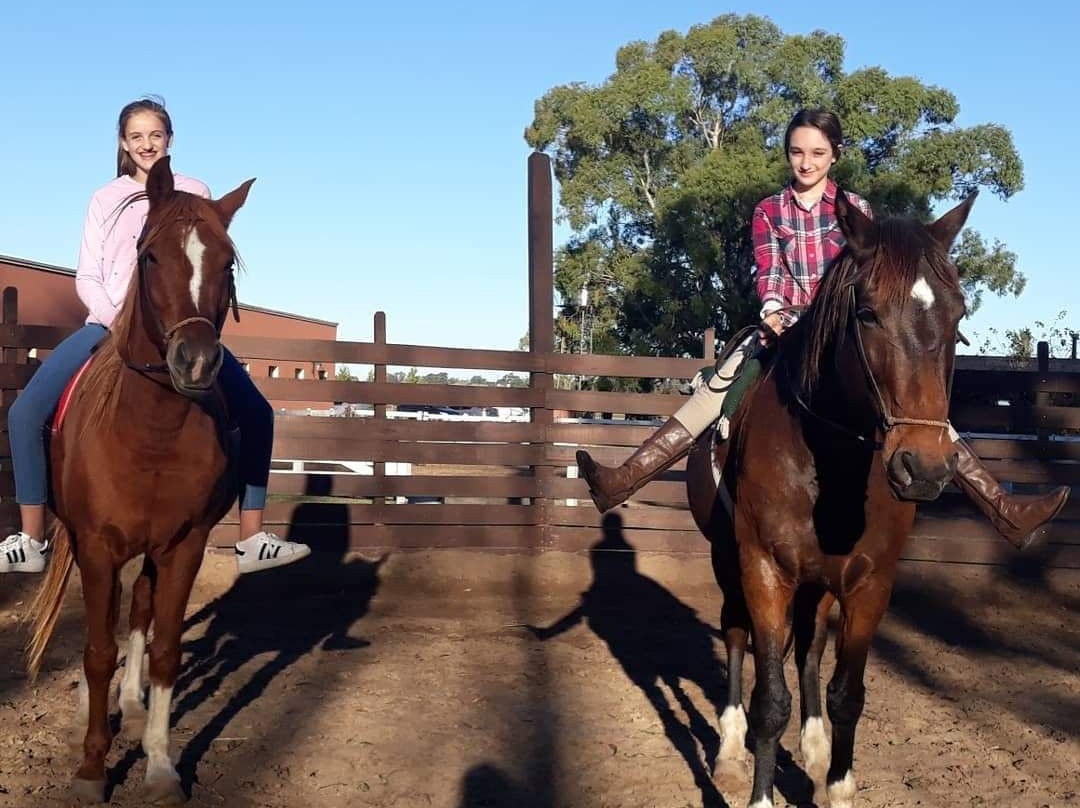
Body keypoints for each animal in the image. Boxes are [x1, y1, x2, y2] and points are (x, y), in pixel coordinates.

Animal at [26, 156, 253, 803]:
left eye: (226, 262)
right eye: (149, 256)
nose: (195, 362)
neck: (150, 430)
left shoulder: (184, 545)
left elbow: (165, 649)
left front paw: (158, 763)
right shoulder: (99, 545)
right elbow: (97, 650)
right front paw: (91, 768)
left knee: (140, 614)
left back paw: (129, 705)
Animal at [686, 191, 976, 808]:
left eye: (958, 316)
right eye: (867, 313)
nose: (924, 467)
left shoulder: (871, 582)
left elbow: (847, 692)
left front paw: (836, 781)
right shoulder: (764, 569)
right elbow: (770, 701)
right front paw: (760, 792)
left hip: (818, 581)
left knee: (811, 648)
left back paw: (815, 748)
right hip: (728, 561)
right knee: (736, 634)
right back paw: (728, 751)